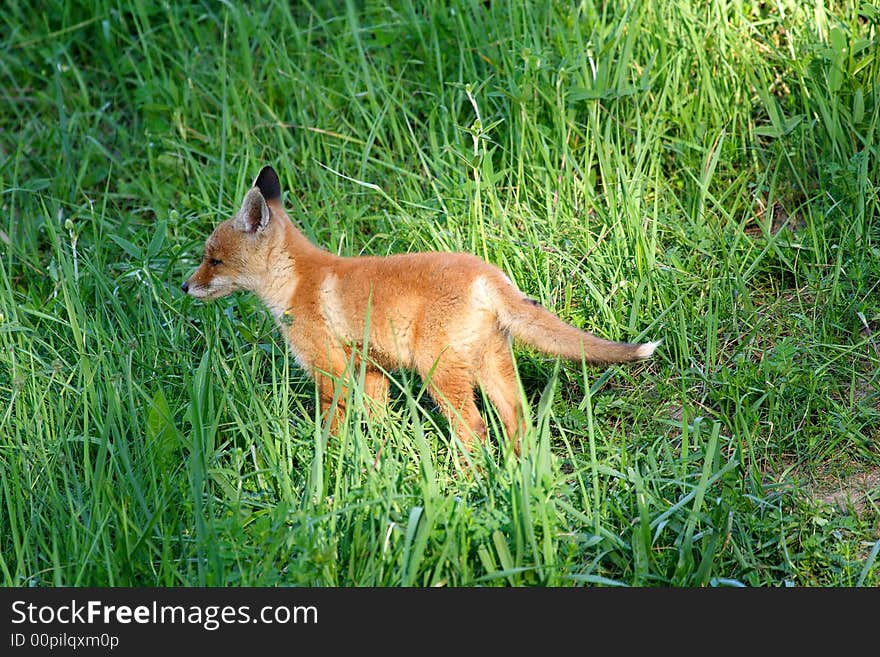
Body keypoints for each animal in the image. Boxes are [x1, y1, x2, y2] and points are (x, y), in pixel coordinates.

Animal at [182, 165, 656, 452]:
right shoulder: (370, 370)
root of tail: (488, 274)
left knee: (474, 428)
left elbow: (332, 427)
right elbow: (373, 423)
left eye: (213, 260)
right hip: (489, 364)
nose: (185, 286)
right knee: (516, 417)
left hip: (438, 370)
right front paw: (374, 461)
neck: (298, 280)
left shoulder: (329, 368)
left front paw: (327, 469)